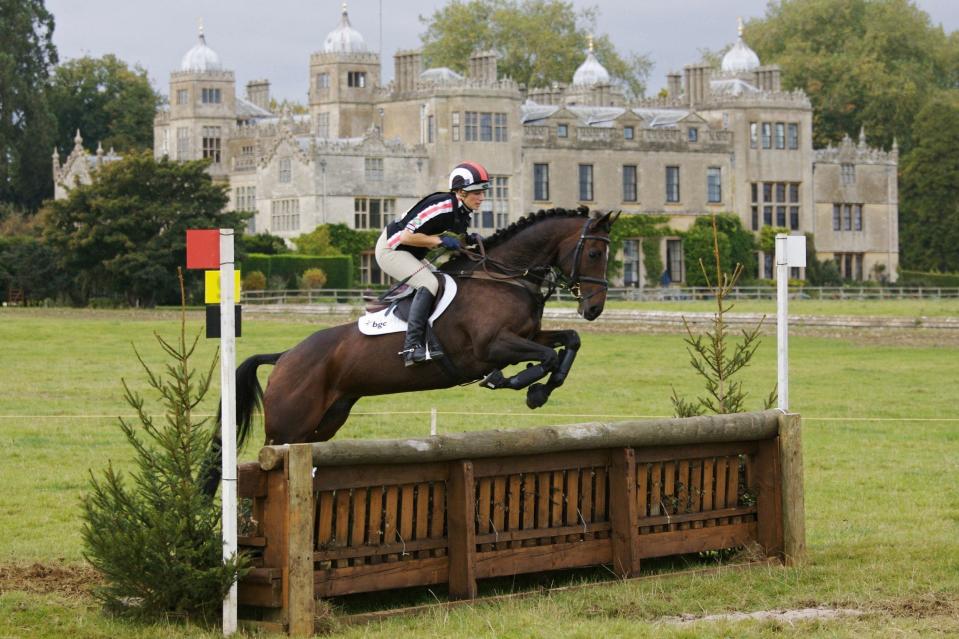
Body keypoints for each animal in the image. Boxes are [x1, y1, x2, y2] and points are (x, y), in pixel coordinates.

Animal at [203, 209, 624, 496]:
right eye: (593, 254)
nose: (594, 308)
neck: (502, 277)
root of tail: (285, 356)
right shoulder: (491, 346)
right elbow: (543, 357)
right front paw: (520, 383)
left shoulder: (530, 335)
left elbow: (569, 341)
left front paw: (540, 389)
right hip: (287, 428)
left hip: (325, 422)